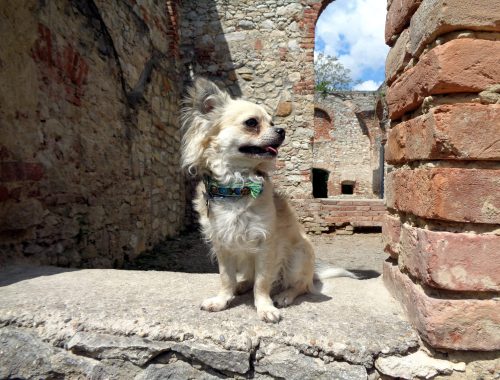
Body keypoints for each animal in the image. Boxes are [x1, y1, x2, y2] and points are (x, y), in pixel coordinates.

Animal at [182, 78, 354, 322]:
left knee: (300, 285)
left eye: (273, 122)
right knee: (250, 278)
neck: (237, 187)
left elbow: (262, 283)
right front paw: (222, 300)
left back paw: (284, 295)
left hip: (297, 257)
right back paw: (241, 286)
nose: (281, 130)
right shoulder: (223, 244)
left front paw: (264, 307)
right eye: (252, 123)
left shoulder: (265, 244)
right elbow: (226, 278)